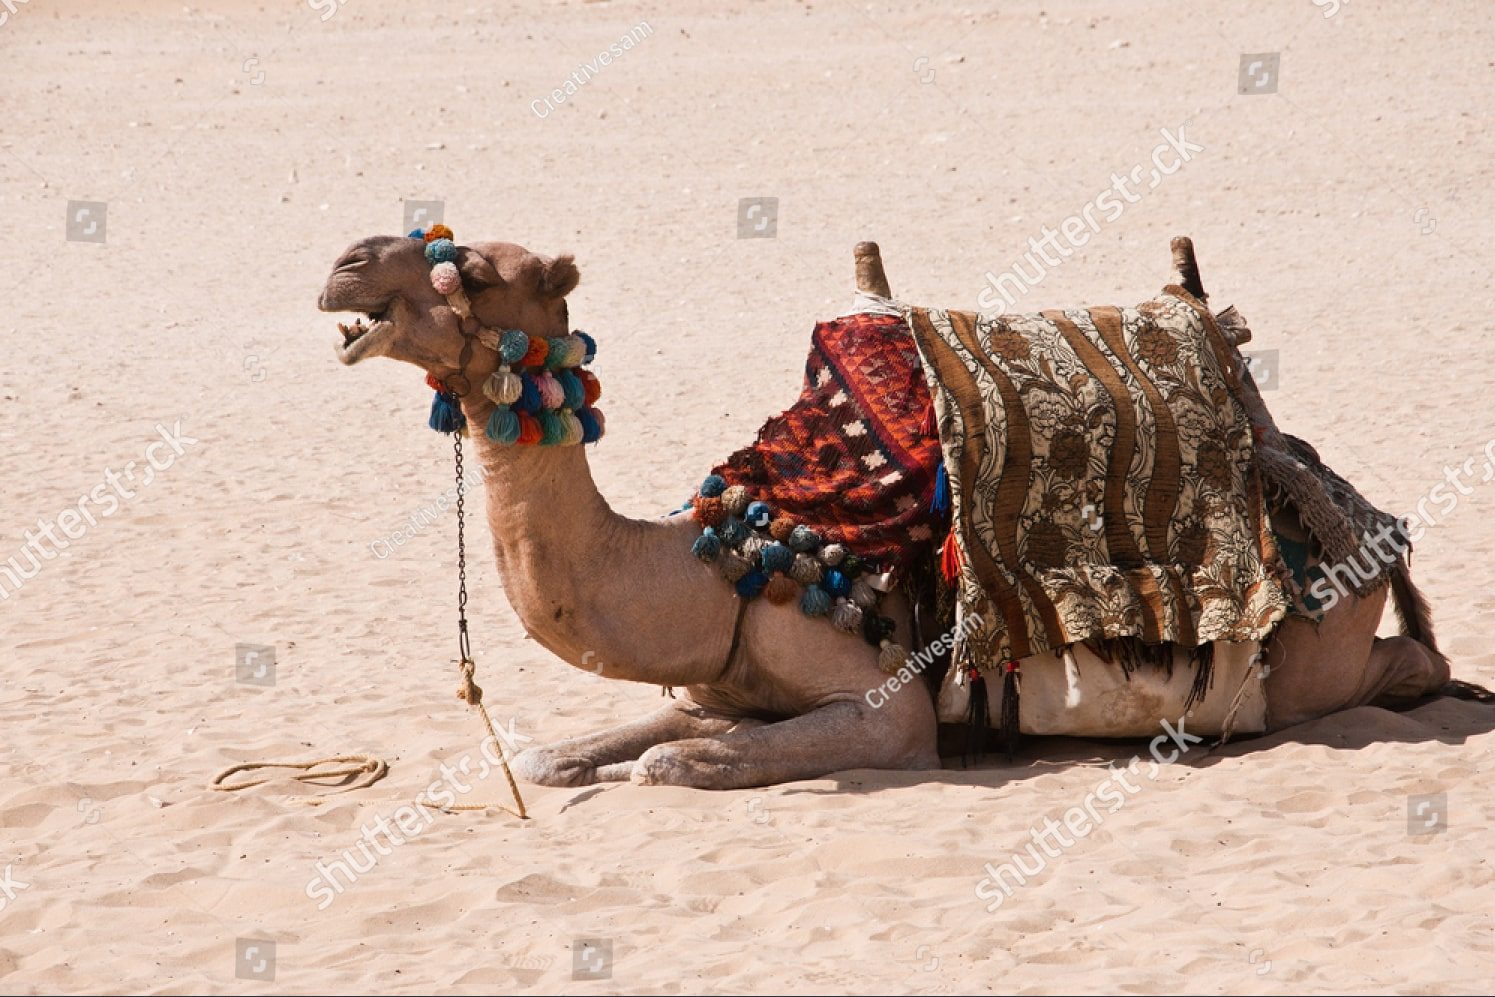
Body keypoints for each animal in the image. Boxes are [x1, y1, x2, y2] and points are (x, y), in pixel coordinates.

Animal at [317, 233, 1468, 790]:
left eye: (467, 267)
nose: (342, 267)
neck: (719, 568)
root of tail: (1355, 508)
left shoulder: (887, 711)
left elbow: (670, 763)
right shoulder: (716, 687)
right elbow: (574, 752)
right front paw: (569, 758)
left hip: (1315, 653)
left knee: (1401, 664)